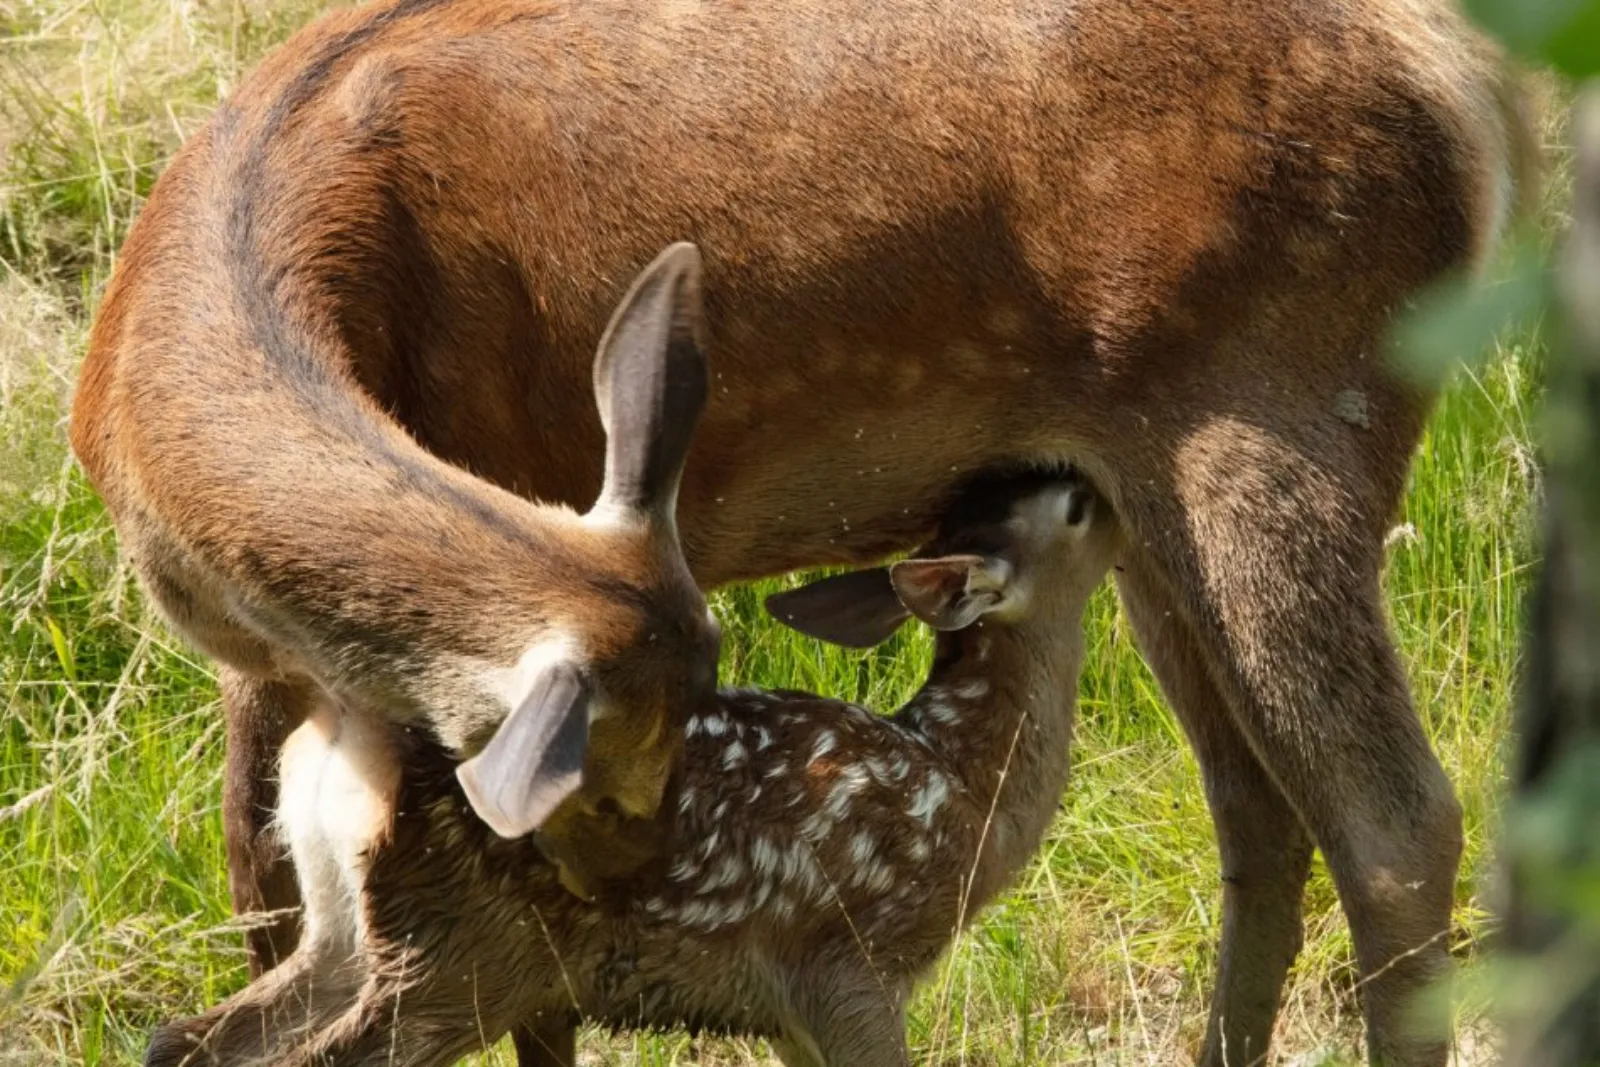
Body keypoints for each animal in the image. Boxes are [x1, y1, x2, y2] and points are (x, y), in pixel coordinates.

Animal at [144, 468, 1121, 1067]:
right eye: (1073, 509)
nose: (1104, 486)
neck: (962, 781)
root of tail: (348, 739)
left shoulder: (793, 1001)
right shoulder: (851, 958)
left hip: (349, 925)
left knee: (185, 1039)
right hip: (459, 950)